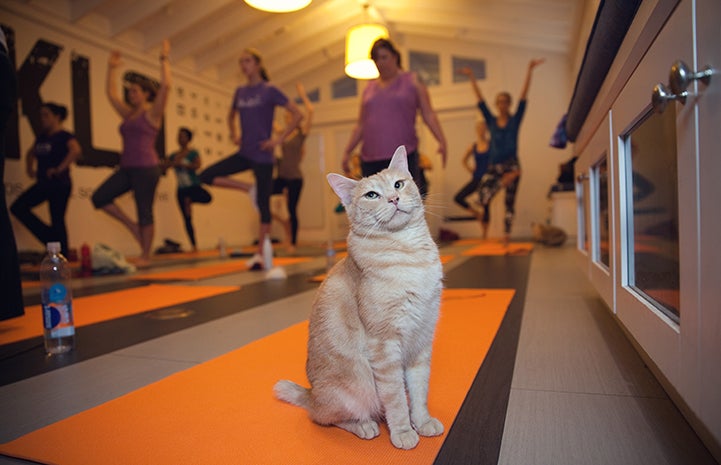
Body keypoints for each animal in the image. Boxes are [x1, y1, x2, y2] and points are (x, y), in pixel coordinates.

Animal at [274, 146, 444, 450]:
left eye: (398, 184)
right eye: (371, 195)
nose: (393, 198)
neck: (409, 253)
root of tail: (312, 394)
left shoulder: (422, 339)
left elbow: (418, 391)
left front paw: (422, 421)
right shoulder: (384, 346)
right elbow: (396, 399)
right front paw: (403, 431)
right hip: (355, 391)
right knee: (323, 417)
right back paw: (363, 425)